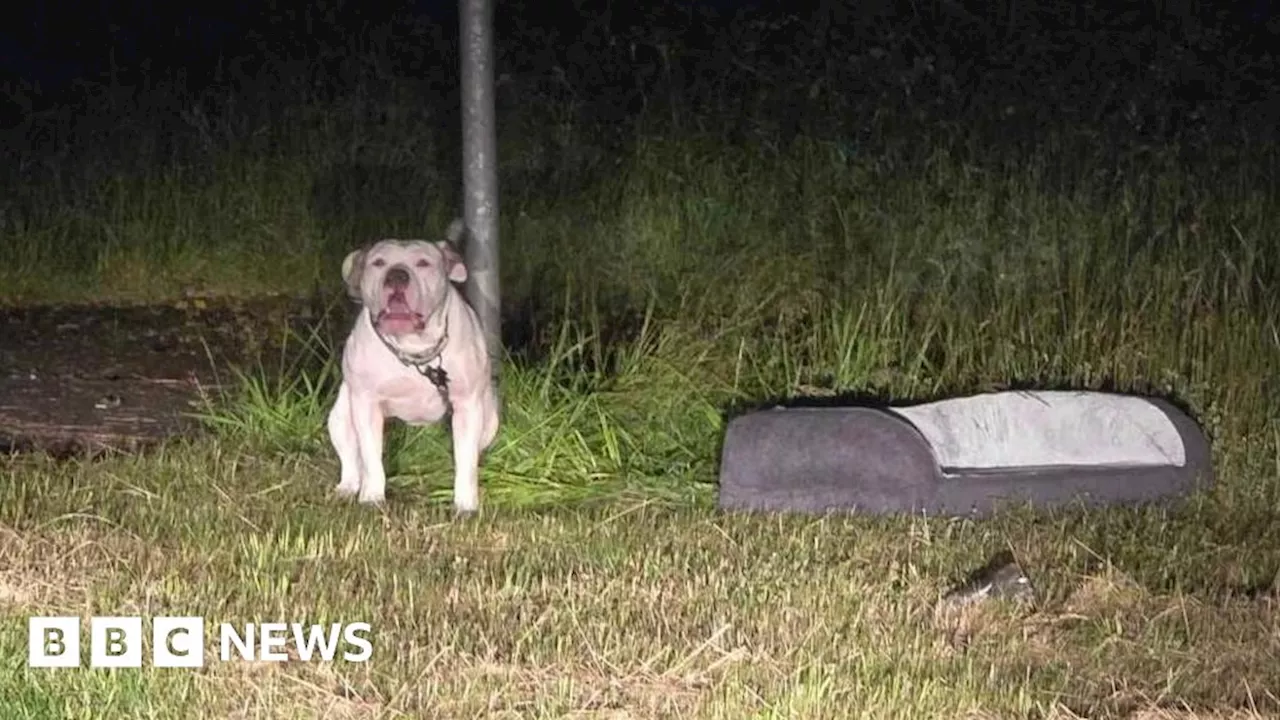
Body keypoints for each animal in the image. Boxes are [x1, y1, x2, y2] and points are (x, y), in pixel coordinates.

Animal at [325, 219, 499, 509]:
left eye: (423, 263)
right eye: (378, 263)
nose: (397, 275)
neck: (412, 348)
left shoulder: (467, 406)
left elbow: (466, 462)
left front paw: (465, 506)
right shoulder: (365, 404)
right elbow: (371, 459)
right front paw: (372, 498)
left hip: (490, 418)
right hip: (340, 416)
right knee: (352, 460)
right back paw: (348, 488)